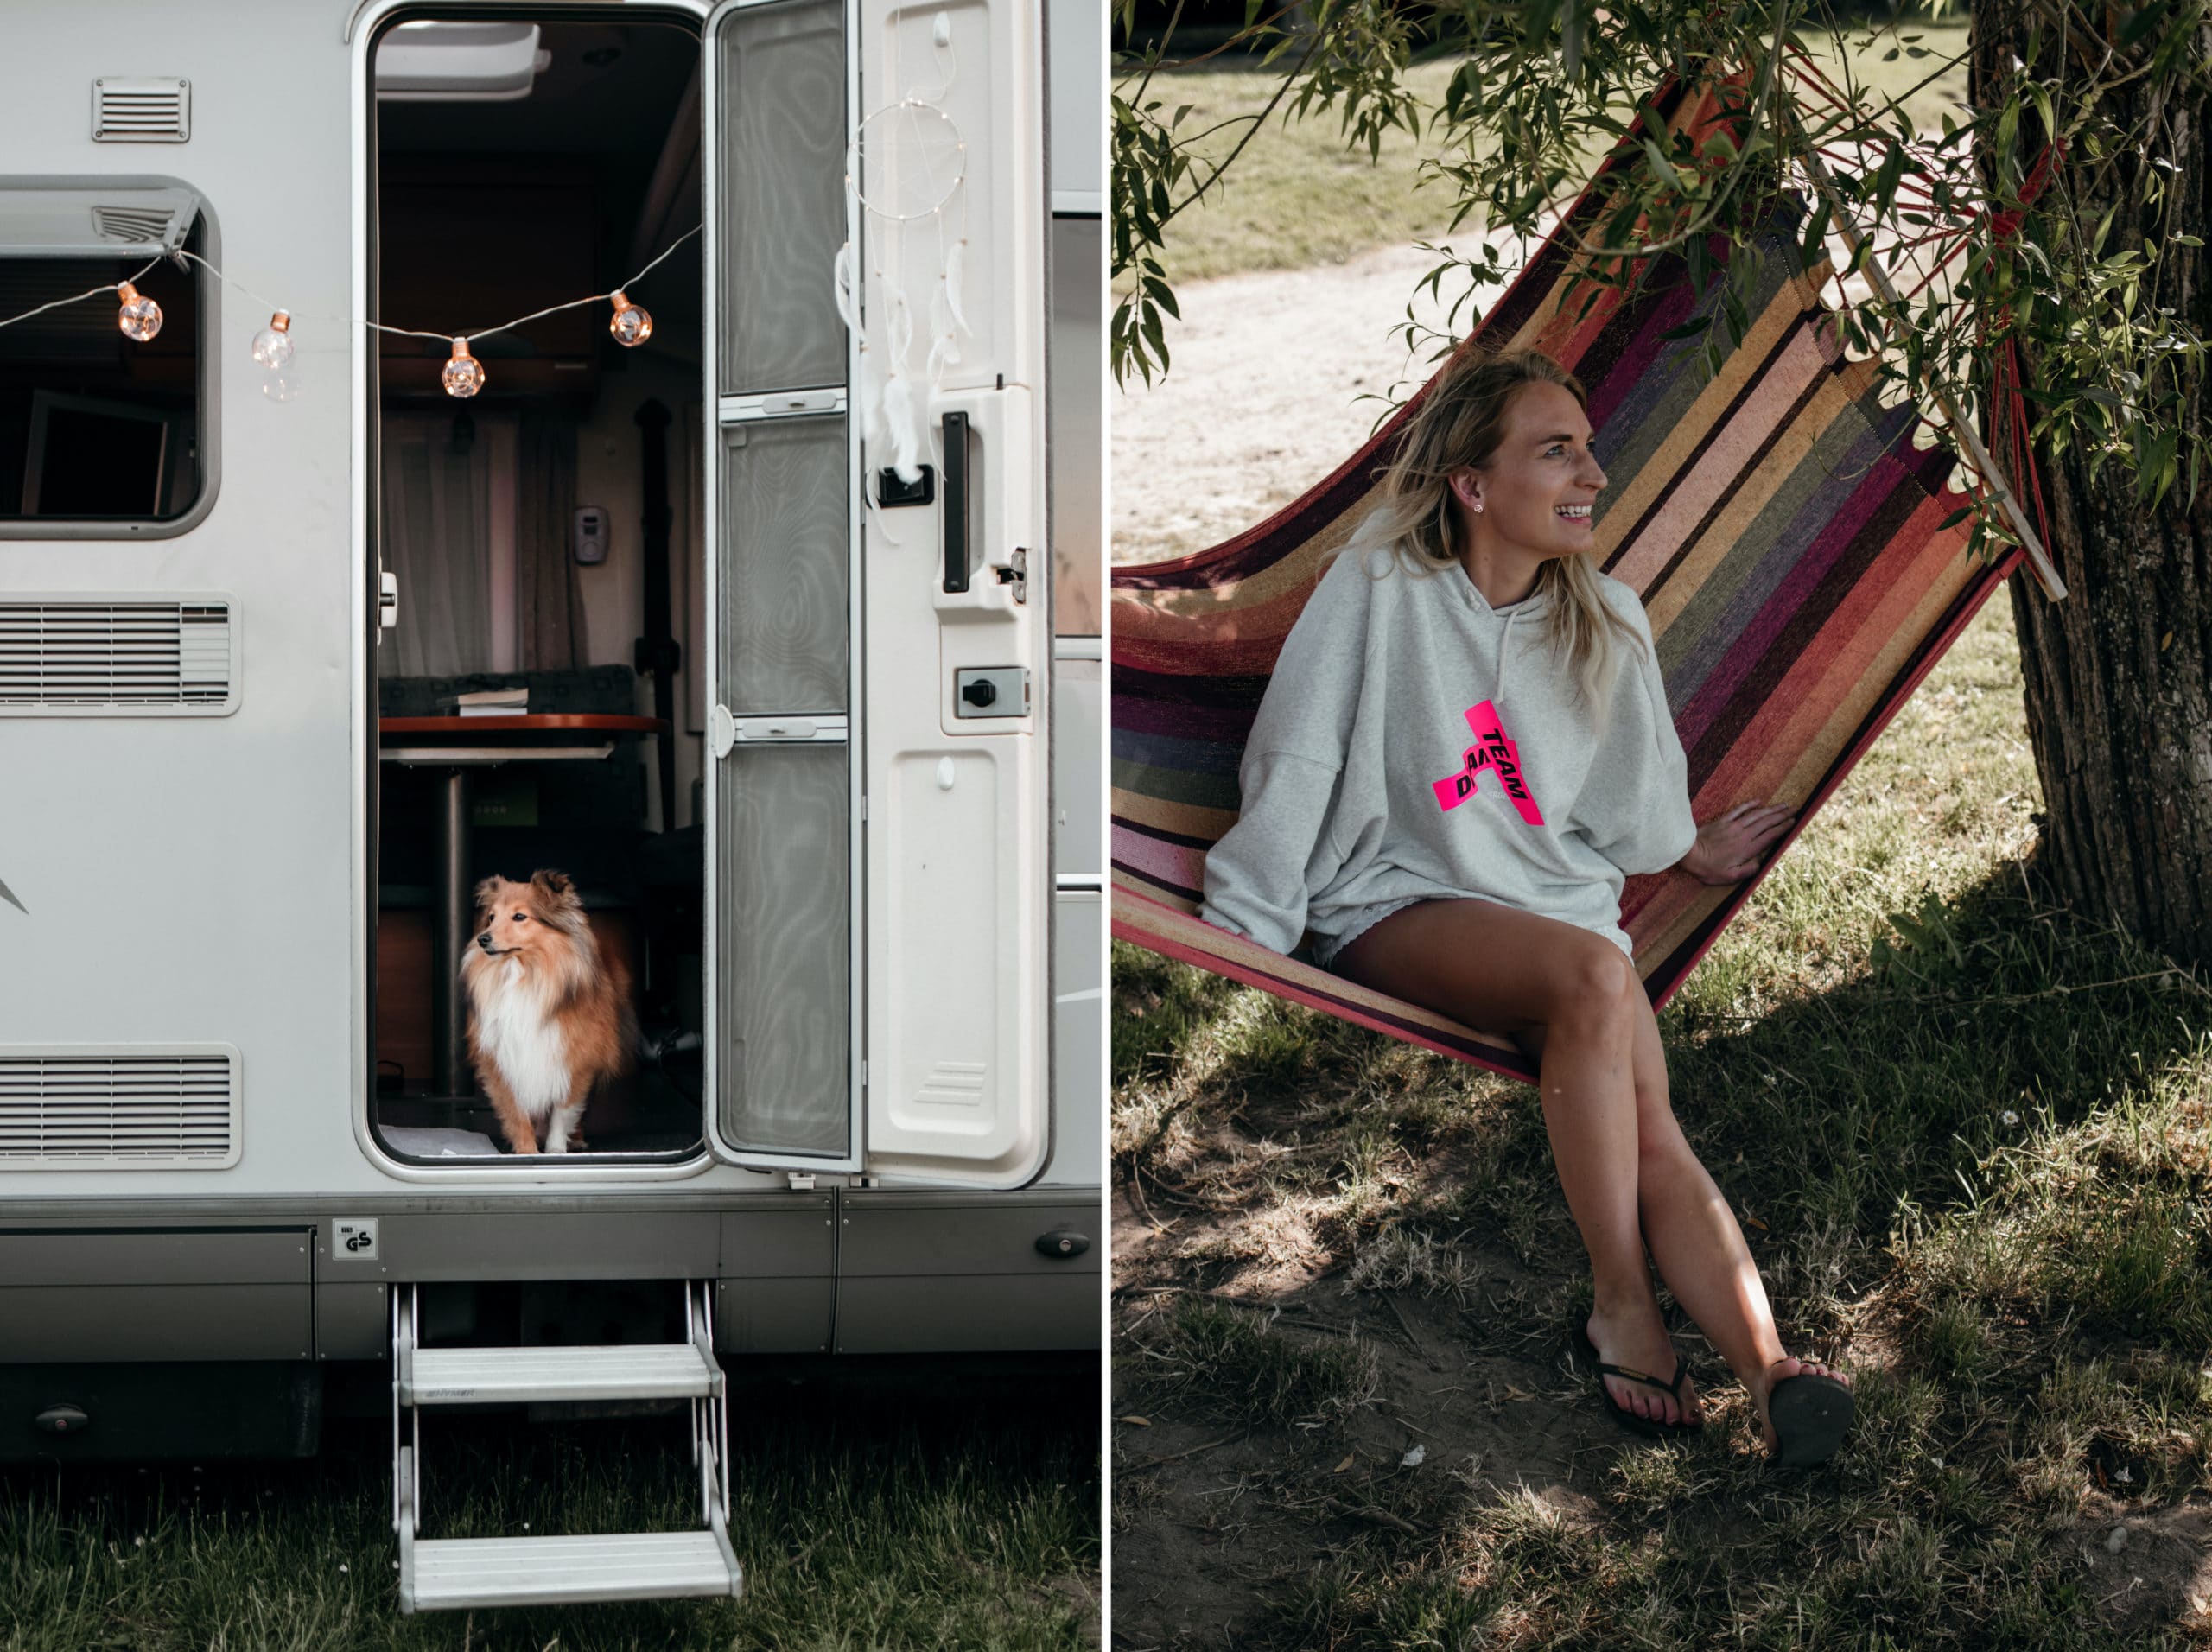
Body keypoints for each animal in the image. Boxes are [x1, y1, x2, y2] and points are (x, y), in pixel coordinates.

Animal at [462, 871, 637, 1159]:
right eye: (491, 917)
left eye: (519, 916)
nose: (483, 939)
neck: (525, 974)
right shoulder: (504, 1059)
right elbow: (517, 1114)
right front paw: (526, 1152)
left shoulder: (576, 1058)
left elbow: (563, 1111)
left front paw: (556, 1149)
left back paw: (576, 1139)